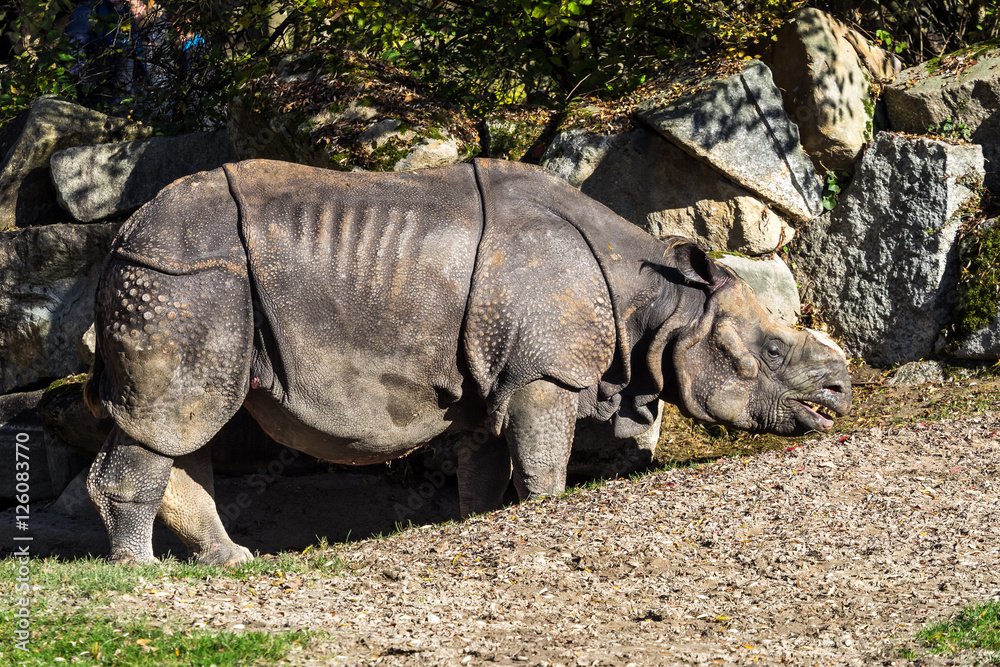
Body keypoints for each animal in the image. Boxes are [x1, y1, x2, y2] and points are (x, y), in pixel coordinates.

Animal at [84, 158, 851, 565]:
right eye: (773, 352)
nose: (842, 393)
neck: (660, 301)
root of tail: (121, 237)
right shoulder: (544, 372)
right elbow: (542, 460)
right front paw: (544, 509)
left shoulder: (496, 379)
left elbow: (483, 466)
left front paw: (480, 523)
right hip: (186, 280)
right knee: (175, 419)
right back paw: (140, 573)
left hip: (192, 284)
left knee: (191, 425)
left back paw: (229, 562)